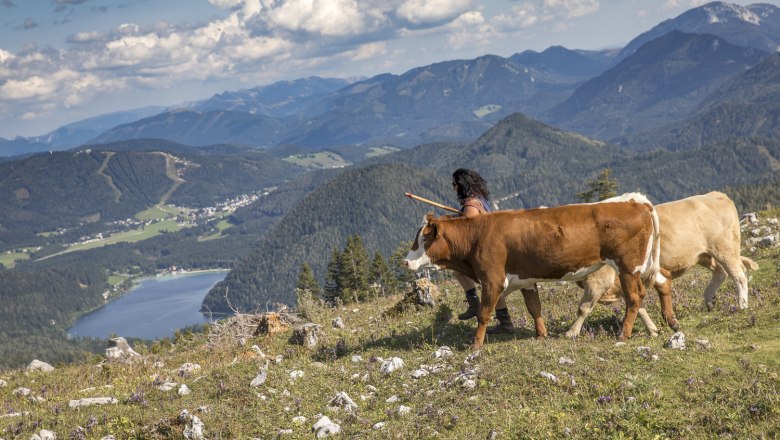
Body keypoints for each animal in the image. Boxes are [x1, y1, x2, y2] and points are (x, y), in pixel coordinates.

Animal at [402, 194, 672, 348]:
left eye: (423, 238)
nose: (405, 262)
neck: (478, 235)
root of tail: (636, 203)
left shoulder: (492, 280)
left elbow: (483, 313)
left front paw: (475, 346)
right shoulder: (526, 279)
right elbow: (535, 308)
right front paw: (541, 335)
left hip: (627, 265)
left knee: (634, 298)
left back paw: (623, 335)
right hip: (638, 267)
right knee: (652, 287)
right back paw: (666, 323)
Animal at [564, 191, 760, 338]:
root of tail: (715, 194)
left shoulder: (598, 281)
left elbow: (583, 308)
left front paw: (571, 332)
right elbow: (638, 306)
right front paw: (652, 329)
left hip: (725, 248)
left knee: (738, 275)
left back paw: (742, 305)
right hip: (704, 254)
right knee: (720, 272)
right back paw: (710, 300)